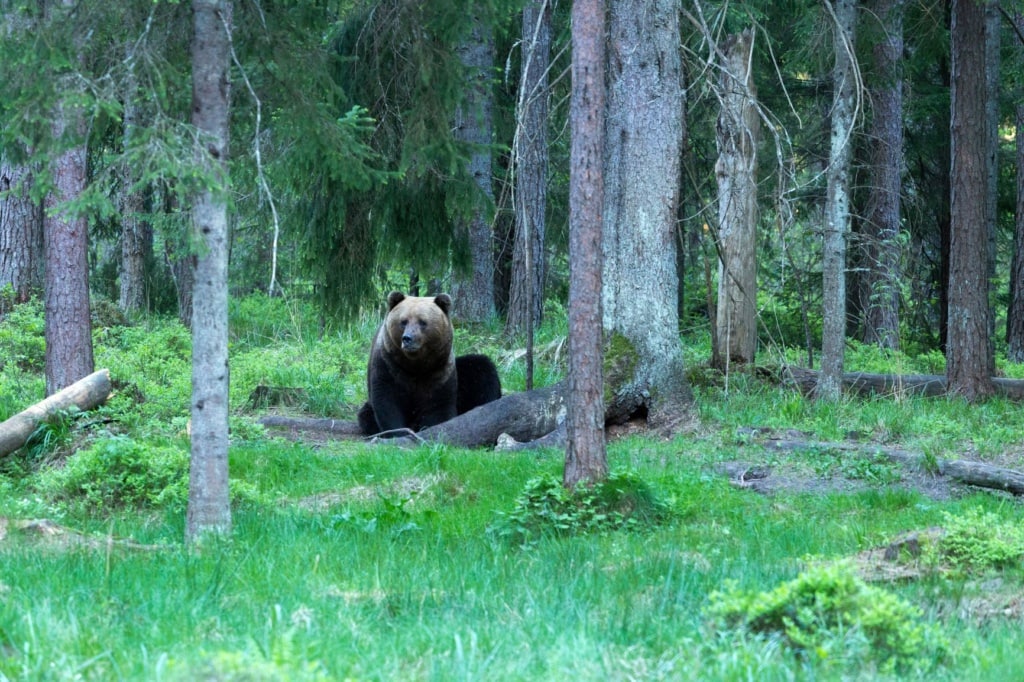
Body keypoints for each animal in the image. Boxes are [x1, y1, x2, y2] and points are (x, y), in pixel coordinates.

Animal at [357, 291, 502, 436]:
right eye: (403, 321)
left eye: (422, 322)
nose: (408, 338)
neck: (416, 365)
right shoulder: (388, 365)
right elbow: (388, 401)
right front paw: (399, 431)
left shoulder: (439, 372)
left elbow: (437, 407)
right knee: (365, 415)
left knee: (483, 369)